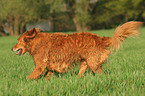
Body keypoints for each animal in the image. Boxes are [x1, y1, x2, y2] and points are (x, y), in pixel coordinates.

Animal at [11, 21, 142, 80]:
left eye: (18, 41)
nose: (11, 48)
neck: (35, 42)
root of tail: (100, 38)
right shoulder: (50, 67)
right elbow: (47, 75)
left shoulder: (40, 66)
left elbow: (30, 77)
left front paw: (23, 83)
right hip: (85, 62)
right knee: (82, 73)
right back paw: (77, 79)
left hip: (93, 63)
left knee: (101, 73)